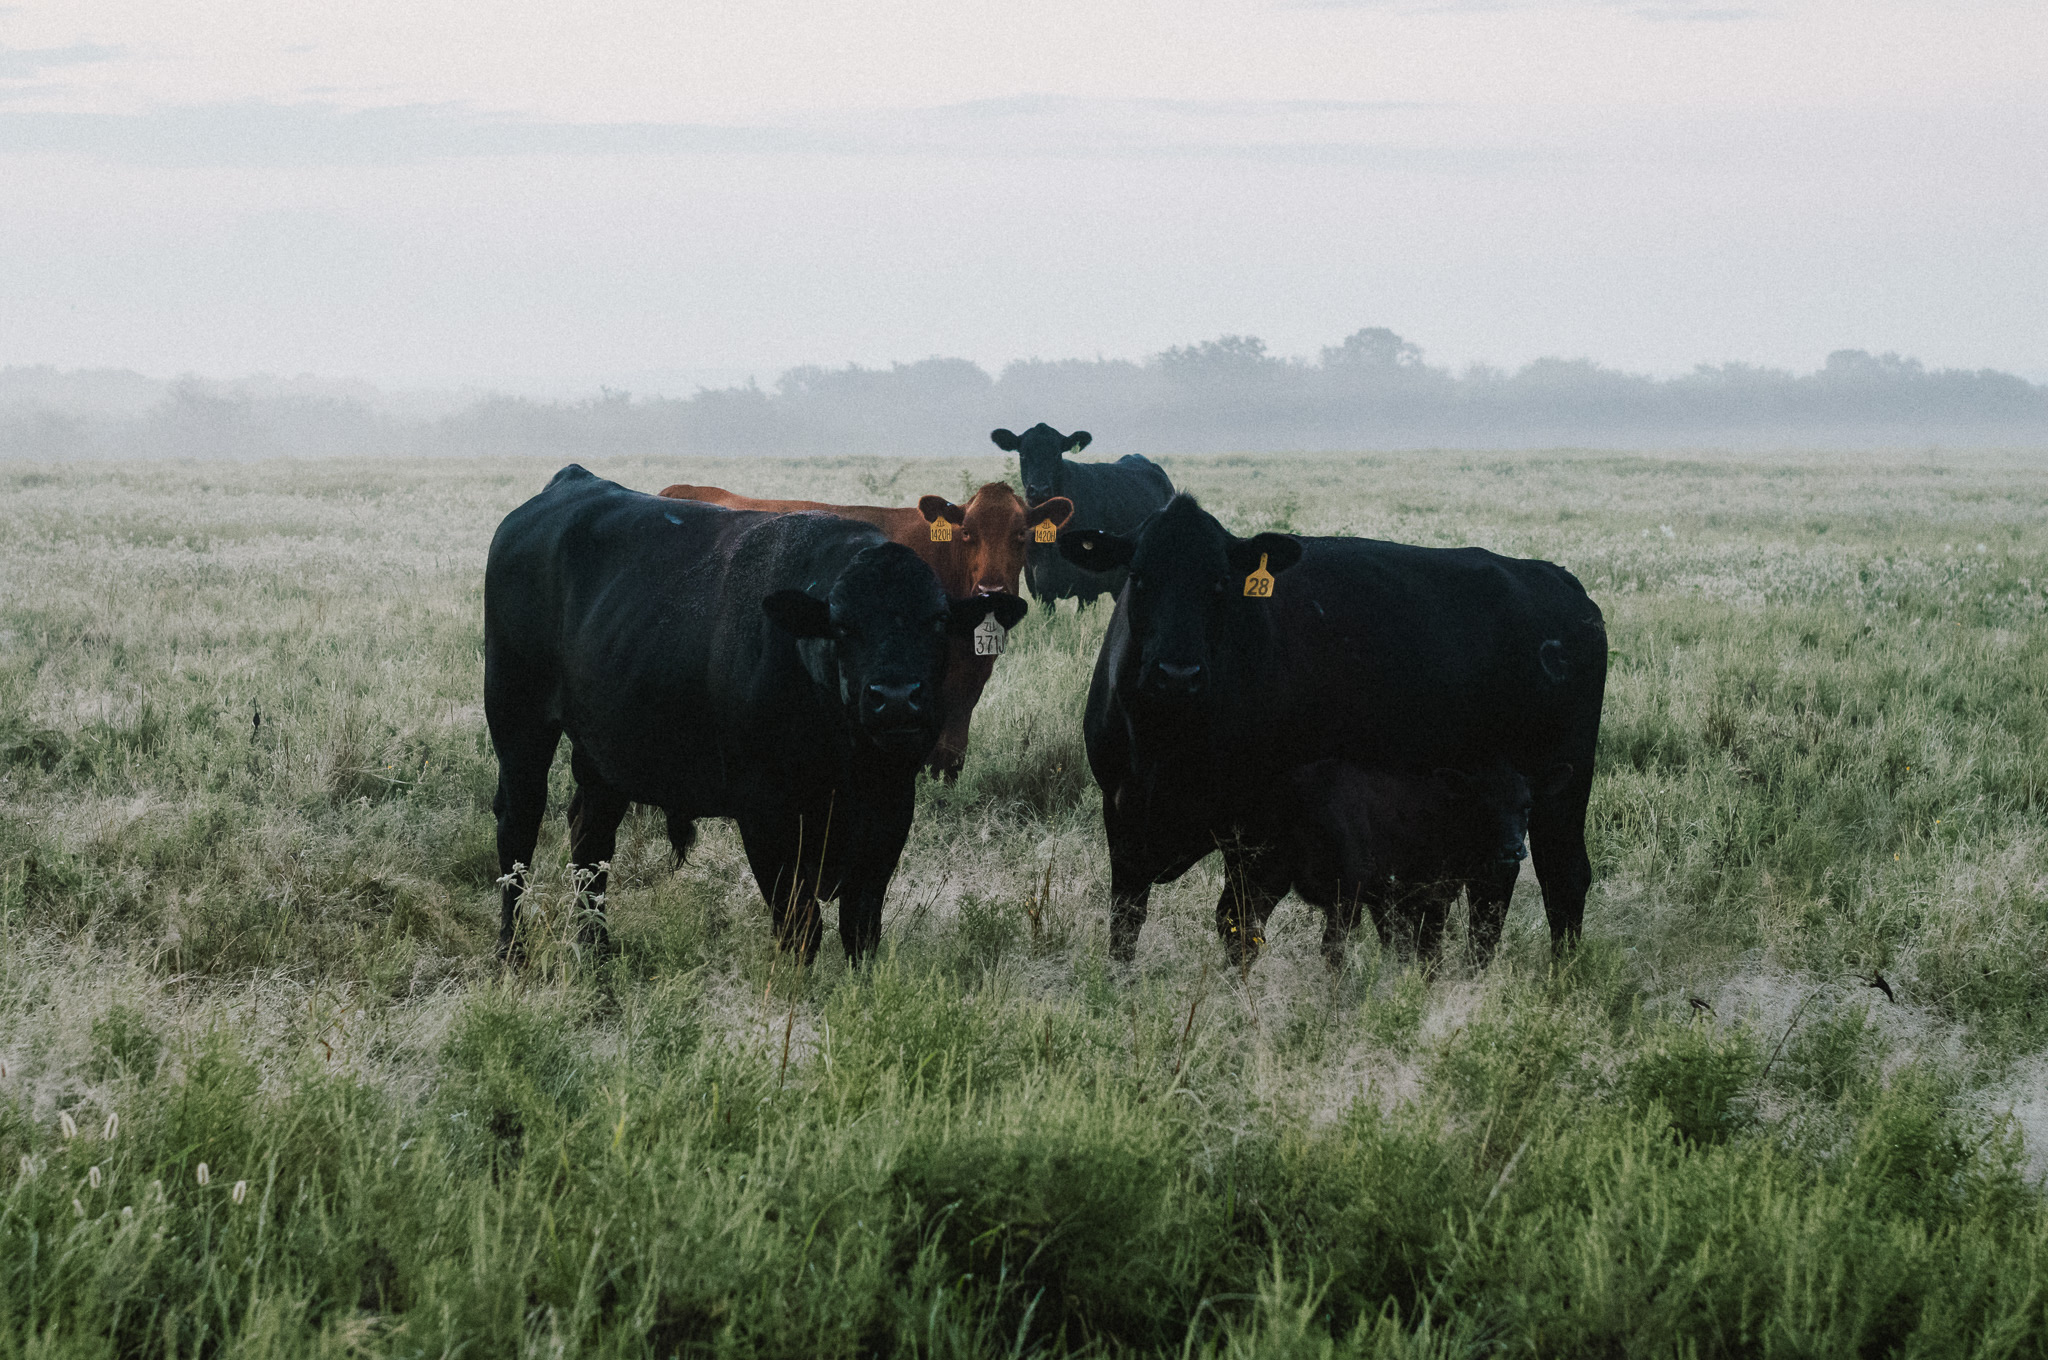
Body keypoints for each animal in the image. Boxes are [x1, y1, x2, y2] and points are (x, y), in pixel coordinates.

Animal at [485, 466, 1027, 964]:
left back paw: (596, 948)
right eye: (841, 625)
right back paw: (512, 950)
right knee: (519, 828)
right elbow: (801, 926)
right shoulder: (766, 813)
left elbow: (861, 926)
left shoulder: (890, 809)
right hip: (518, 723)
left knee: (590, 839)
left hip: (605, 756)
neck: (846, 755)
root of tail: (569, 482)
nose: (895, 697)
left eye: (937, 621)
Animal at [1285, 758, 1574, 967]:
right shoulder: (1432, 895)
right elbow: (1426, 950)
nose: (1513, 849)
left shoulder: (1389, 900)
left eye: (1528, 805)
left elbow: (1400, 947)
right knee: (1332, 947)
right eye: (1483, 806)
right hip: (1344, 894)